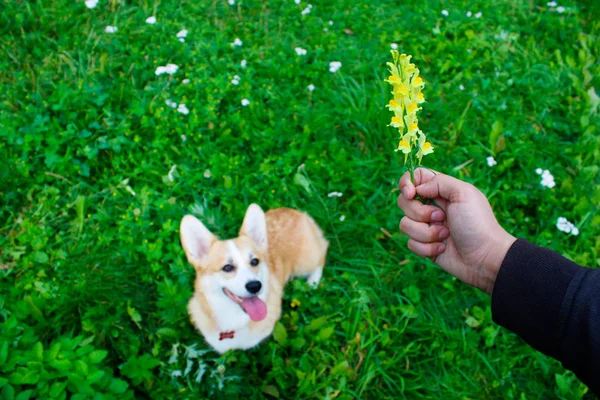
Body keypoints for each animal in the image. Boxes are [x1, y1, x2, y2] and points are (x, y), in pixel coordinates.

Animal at [179, 205, 328, 352]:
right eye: (227, 267)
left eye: (255, 261)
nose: (255, 286)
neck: (235, 319)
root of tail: (298, 213)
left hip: (305, 262)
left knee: (322, 255)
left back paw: (312, 283)